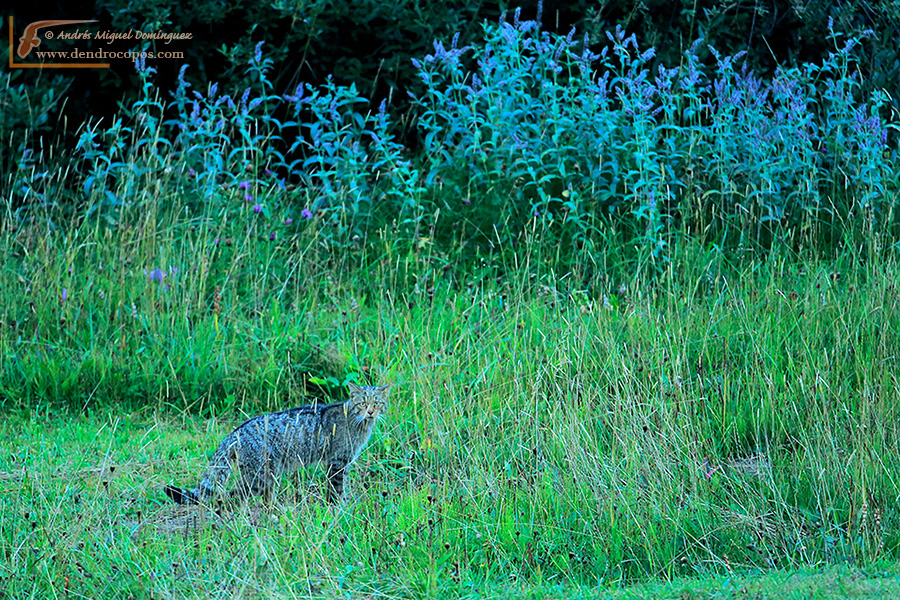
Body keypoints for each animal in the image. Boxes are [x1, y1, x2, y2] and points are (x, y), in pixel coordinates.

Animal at [163, 382, 388, 504]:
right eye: (362, 403)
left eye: (377, 403)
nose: (370, 412)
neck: (358, 423)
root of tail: (235, 431)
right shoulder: (338, 462)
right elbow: (337, 491)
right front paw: (338, 510)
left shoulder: (341, 463)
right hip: (257, 477)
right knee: (230, 498)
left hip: (269, 476)